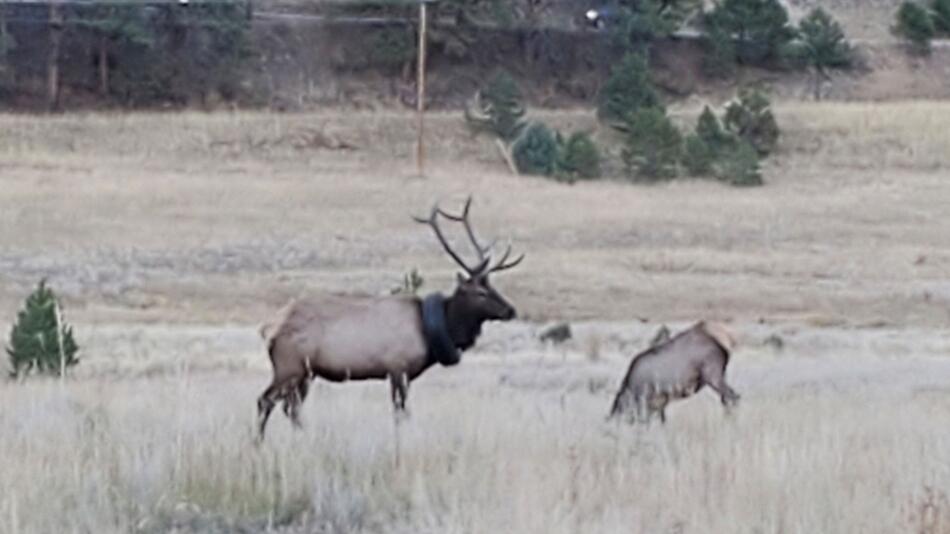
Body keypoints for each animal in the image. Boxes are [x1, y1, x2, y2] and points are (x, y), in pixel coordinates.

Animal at [258, 199, 528, 442]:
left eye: (493, 286)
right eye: (480, 292)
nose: (511, 310)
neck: (429, 333)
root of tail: (268, 329)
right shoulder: (398, 367)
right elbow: (401, 413)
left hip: (305, 373)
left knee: (291, 409)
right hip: (289, 366)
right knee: (265, 401)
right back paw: (258, 444)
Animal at [608, 322, 744, 428]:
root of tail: (723, 349)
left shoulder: (647, 402)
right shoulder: (659, 404)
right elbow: (662, 422)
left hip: (712, 377)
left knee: (733, 397)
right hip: (721, 375)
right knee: (727, 399)